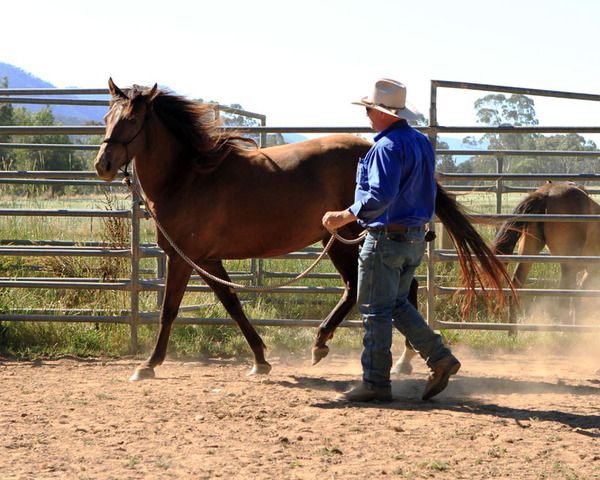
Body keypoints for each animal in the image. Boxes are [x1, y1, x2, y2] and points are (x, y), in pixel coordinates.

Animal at [95, 79, 513, 381]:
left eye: (132, 120)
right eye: (106, 118)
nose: (103, 164)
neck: (189, 175)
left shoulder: (183, 259)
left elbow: (169, 311)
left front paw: (148, 365)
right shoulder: (208, 259)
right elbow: (232, 305)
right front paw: (260, 360)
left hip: (343, 242)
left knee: (361, 289)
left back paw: (327, 345)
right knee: (398, 291)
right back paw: (402, 360)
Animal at [493, 181, 600, 323]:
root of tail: (546, 193)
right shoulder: (591, 270)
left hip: (528, 251)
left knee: (516, 286)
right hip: (568, 264)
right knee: (563, 295)